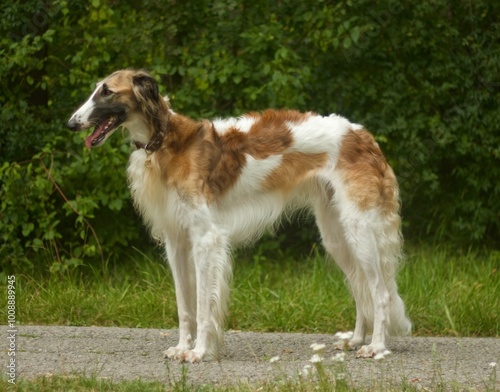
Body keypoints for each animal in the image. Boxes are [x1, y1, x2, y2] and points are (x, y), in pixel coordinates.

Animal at [67, 69, 410, 362]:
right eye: (96, 89)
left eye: (107, 91)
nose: (71, 123)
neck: (165, 142)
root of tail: (363, 135)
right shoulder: (176, 240)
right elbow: (184, 305)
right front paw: (182, 347)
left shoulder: (206, 238)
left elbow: (203, 304)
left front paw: (199, 352)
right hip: (336, 234)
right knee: (361, 288)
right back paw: (356, 339)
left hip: (359, 229)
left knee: (380, 292)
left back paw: (376, 346)